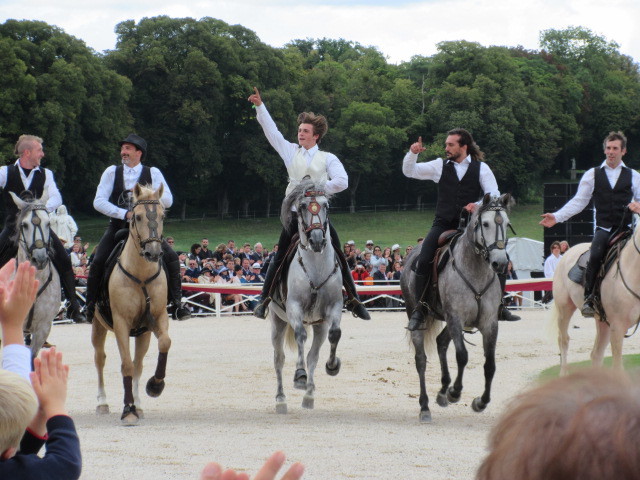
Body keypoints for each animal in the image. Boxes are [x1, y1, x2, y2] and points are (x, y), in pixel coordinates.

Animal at [90, 184, 170, 424]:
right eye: (137, 216)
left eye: (162, 215)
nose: (153, 252)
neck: (141, 275)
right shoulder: (121, 324)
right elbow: (125, 364)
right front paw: (128, 410)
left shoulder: (155, 320)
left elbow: (163, 344)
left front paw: (155, 386)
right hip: (98, 326)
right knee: (100, 359)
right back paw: (102, 402)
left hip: (142, 333)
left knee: (137, 364)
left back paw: (140, 403)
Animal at [268, 182, 344, 414]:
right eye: (302, 206)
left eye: (326, 205)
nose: (317, 240)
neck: (316, 267)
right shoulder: (294, 308)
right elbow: (300, 335)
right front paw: (299, 376)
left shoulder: (334, 308)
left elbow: (335, 334)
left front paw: (332, 366)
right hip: (278, 321)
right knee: (279, 359)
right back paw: (281, 400)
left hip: (319, 326)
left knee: (313, 356)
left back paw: (309, 396)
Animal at [402, 193, 512, 422]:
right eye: (485, 223)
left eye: (507, 224)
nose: (499, 263)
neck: (476, 270)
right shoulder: (455, 318)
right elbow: (462, 356)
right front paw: (455, 392)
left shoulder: (489, 323)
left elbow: (490, 365)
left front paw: (481, 402)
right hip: (417, 316)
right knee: (421, 360)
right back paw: (425, 406)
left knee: (441, 342)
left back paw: (442, 391)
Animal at [552, 218, 640, 376]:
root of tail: (568, 252)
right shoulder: (617, 327)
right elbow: (618, 368)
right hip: (564, 309)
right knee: (563, 340)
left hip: (602, 322)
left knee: (596, 354)